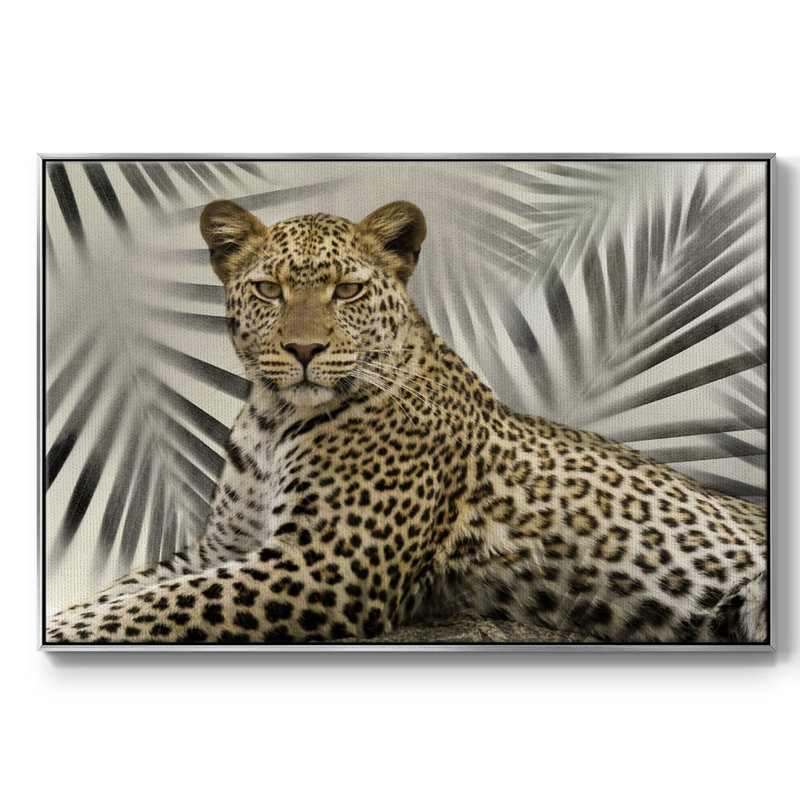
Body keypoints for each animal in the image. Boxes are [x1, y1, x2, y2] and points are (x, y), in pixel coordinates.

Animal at [45, 199, 768, 645]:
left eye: (347, 290)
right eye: (269, 289)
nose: (303, 350)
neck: (274, 418)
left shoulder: (326, 565)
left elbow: (158, 605)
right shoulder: (224, 546)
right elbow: (129, 590)